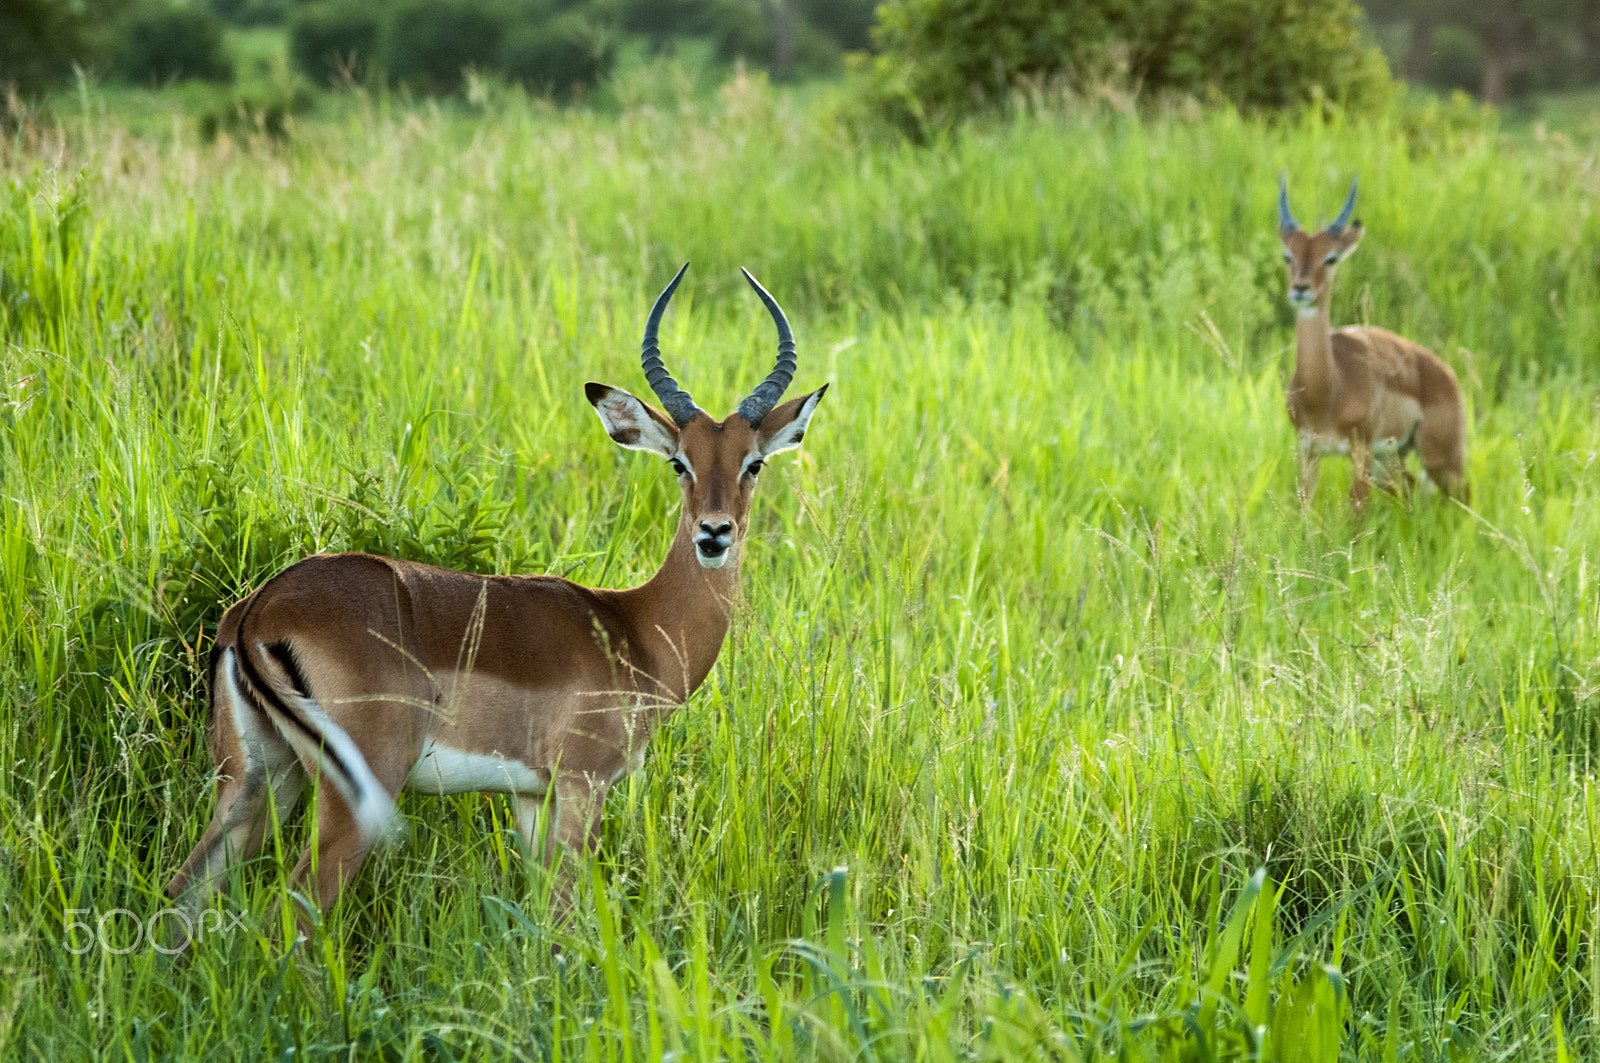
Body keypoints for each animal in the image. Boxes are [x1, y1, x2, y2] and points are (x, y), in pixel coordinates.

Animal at [164, 264, 827, 931]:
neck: (635, 628)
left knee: (181, 897)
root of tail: (257, 611)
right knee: (293, 913)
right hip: (353, 792)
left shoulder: (530, 796)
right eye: (679, 463)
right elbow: (565, 918)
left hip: (256, 783)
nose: (714, 534)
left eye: (754, 463)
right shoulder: (583, 785)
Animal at [1277, 176, 1468, 509]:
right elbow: (1305, 512)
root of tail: (1447, 373)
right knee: (1410, 488)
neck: (1327, 390)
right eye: (1289, 255)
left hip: (1440, 457)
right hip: (1392, 458)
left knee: (1465, 497)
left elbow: (1356, 513)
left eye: (1330, 258)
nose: (1301, 289)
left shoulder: (1360, 452)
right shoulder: (1308, 452)